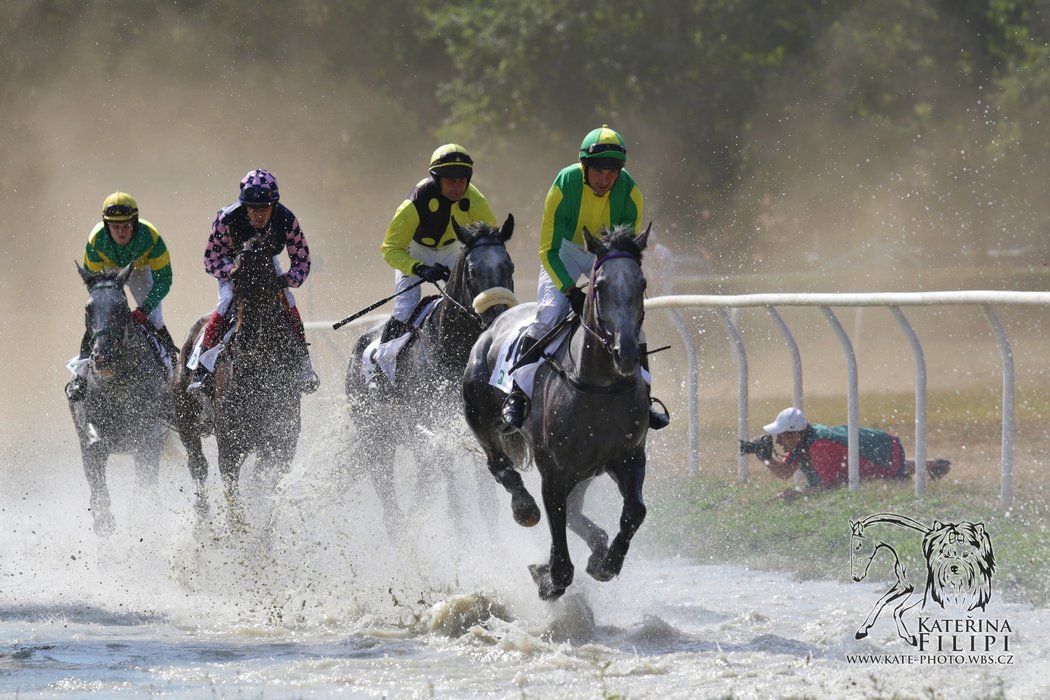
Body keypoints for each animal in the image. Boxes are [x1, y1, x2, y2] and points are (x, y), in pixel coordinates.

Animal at [69, 262, 170, 537]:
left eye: (121, 307)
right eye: (88, 308)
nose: (103, 356)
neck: (119, 385)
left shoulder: (147, 440)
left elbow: (144, 488)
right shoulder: (90, 441)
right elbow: (98, 488)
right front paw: (104, 522)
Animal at [169, 235, 298, 531]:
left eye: (268, 275)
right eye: (236, 276)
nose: (246, 338)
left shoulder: (282, 442)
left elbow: (267, 488)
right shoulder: (230, 443)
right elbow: (233, 494)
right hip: (185, 418)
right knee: (198, 465)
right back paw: (203, 519)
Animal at [344, 216, 516, 533]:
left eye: (509, 265)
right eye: (472, 271)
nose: (498, 316)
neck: (452, 347)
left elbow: (487, 501)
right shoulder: (439, 431)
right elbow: (455, 502)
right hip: (377, 441)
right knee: (390, 507)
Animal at [466, 227, 651, 600]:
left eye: (641, 284)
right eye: (600, 286)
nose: (626, 352)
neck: (599, 387)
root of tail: (493, 323)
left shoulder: (628, 456)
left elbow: (635, 511)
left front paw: (606, 563)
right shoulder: (553, 468)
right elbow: (556, 520)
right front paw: (551, 578)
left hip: (587, 470)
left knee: (577, 511)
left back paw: (596, 547)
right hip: (477, 412)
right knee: (498, 464)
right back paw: (524, 508)